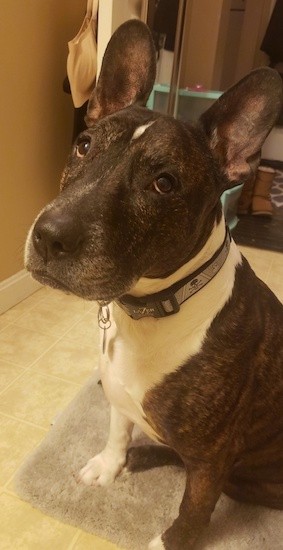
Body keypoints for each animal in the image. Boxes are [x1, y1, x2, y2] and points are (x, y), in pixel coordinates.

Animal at [25, 19, 283, 550]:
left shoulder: (213, 457)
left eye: (164, 183)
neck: (148, 309)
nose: (48, 235)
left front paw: (170, 540)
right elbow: (117, 430)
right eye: (84, 145)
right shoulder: (119, 396)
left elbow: (194, 509)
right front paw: (110, 465)